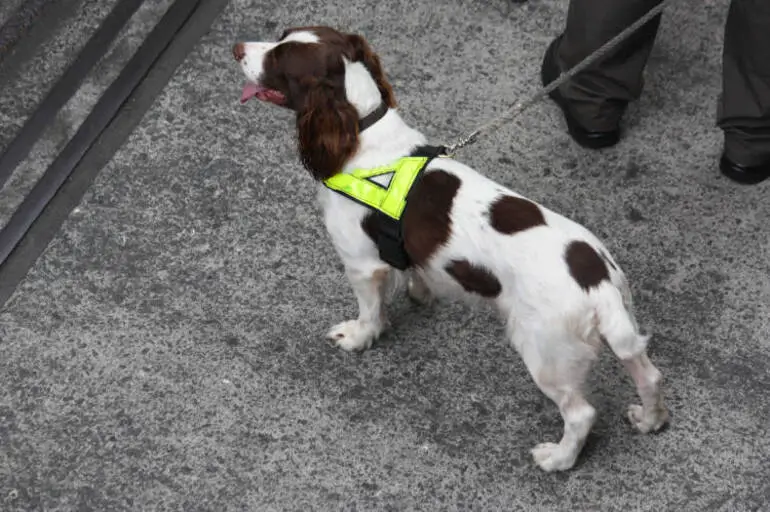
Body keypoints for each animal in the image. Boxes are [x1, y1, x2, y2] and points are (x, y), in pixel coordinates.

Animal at [231, 25, 668, 472]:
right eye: (282, 35)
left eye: (280, 60)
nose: (236, 49)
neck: (362, 131)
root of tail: (598, 284)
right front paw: (419, 292)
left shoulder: (362, 264)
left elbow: (370, 311)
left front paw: (357, 336)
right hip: (621, 328)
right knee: (649, 375)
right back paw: (649, 420)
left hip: (546, 352)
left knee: (581, 413)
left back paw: (558, 458)